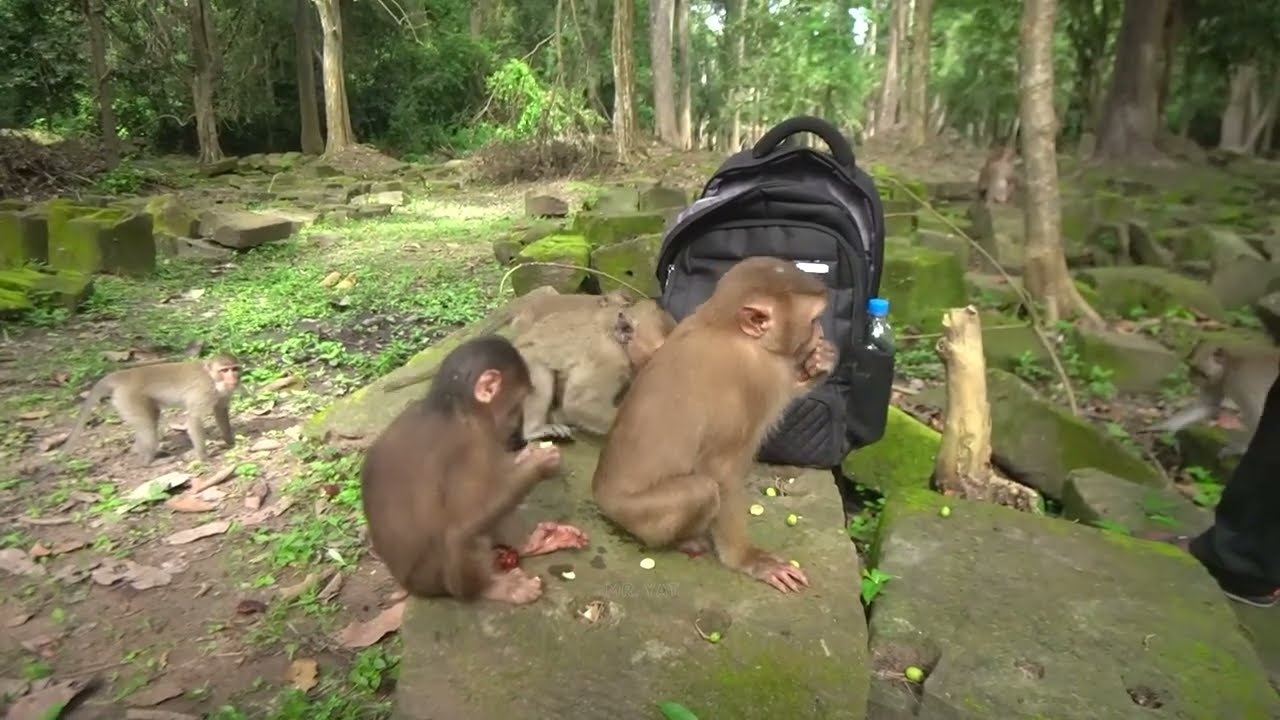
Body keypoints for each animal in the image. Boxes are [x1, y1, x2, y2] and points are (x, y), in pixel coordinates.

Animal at [62, 354, 241, 465]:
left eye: (235, 369)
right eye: (224, 370)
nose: (234, 378)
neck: (212, 378)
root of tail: (124, 375)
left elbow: (220, 410)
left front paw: (230, 442)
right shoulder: (204, 391)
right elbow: (194, 420)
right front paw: (203, 457)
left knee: (151, 419)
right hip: (129, 399)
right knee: (147, 426)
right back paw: (147, 461)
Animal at [360, 335, 590, 605]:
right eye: (517, 404)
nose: (518, 434)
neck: (456, 408)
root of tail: (409, 586)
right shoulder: (470, 445)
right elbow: (466, 518)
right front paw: (540, 464)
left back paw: (533, 543)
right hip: (436, 582)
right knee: (462, 535)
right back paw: (492, 587)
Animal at [516, 298, 677, 441]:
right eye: (657, 351)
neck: (614, 337)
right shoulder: (609, 361)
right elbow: (579, 403)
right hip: (525, 360)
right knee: (542, 378)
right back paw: (534, 429)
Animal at [591, 257, 836, 594]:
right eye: (812, 320)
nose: (820, 332)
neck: (722, 325)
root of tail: (600, 496)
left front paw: (822, 362)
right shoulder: (758, 376)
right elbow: (721, 471)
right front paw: (747, 559)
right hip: (635, 514)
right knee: (702, 489)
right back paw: (684, 540)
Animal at [1151, 341, 1279, 457]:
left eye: (1201, 372)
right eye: (1192, 367)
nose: (1191, 378)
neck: (1229, 365)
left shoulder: (1239, 382)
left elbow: (1256, 414)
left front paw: (1239, 448)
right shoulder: (1217, 383)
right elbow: (1209, 405)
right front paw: (1166, 426)